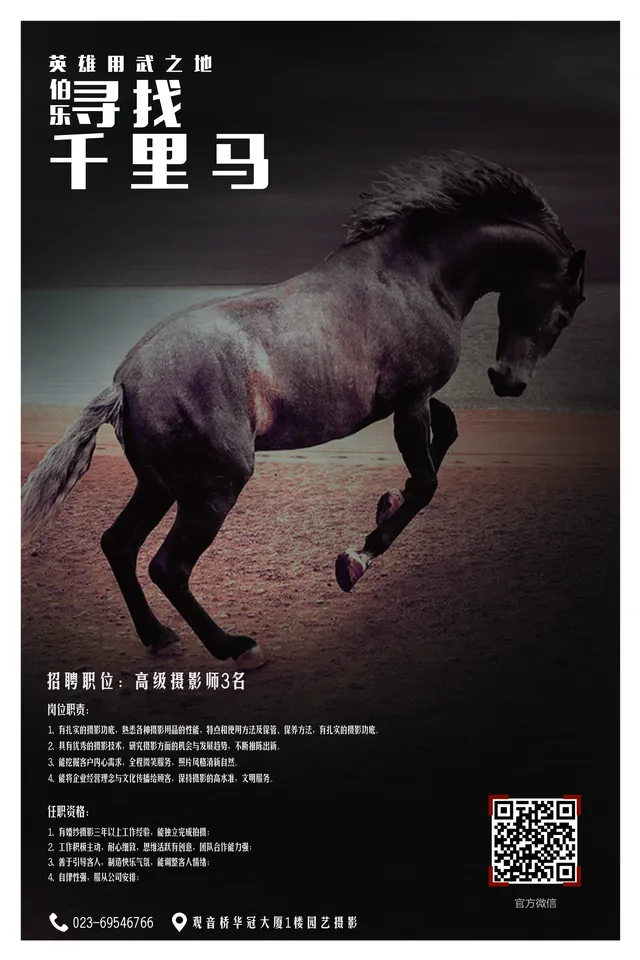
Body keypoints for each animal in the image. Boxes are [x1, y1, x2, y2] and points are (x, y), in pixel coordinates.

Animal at [21, 152, 586, 670]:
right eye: (563, 313)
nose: (508, 381)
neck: (419, 276)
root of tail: (124, 382)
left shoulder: (414, 399)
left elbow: (445, 433)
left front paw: (386, 502)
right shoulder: (410, 402)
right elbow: (427, 483)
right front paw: (356, 560)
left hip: (158, 486)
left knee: (119, 545)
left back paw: (159, 637)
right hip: (213, 490)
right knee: (168, 566)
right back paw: (234, 646)